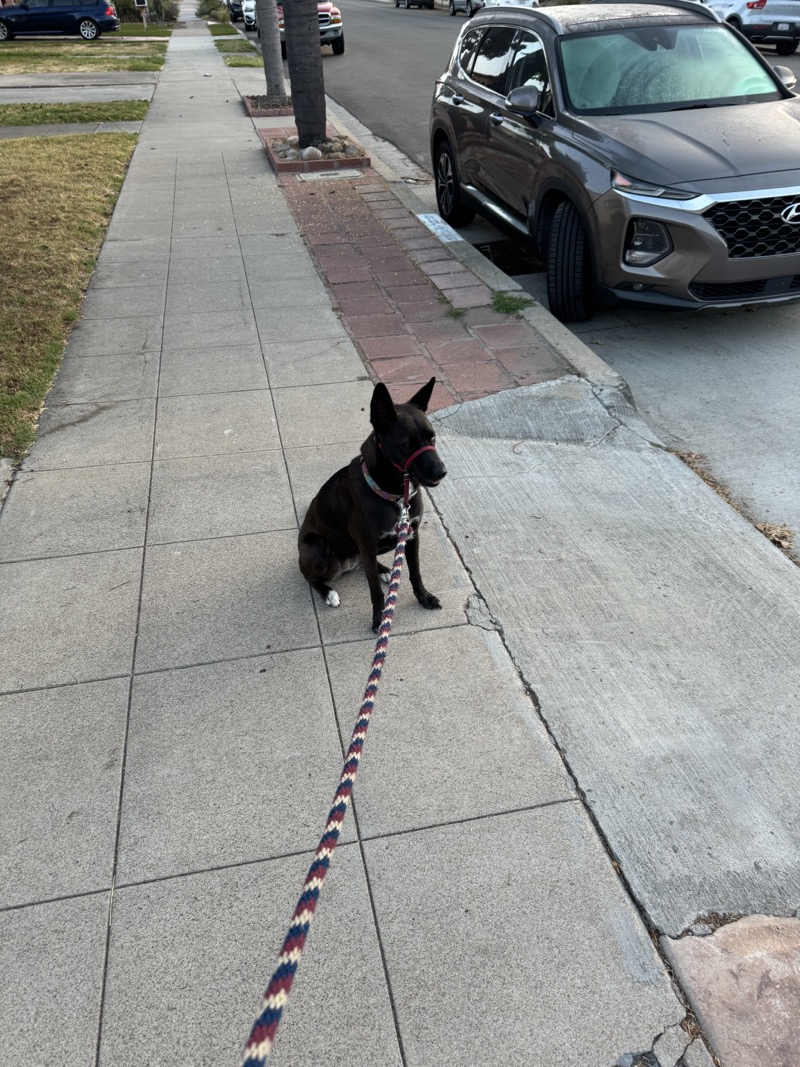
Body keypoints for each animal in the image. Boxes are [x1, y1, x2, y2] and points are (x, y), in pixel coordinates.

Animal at [300, 377, 448, 627]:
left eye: (433, 437)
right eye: (407, 444)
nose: (441, 472)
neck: (395, 495)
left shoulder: (411, 536)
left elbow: (416, 573)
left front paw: (424, 597)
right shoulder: (368, 544)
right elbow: (376, 592)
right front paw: (379, 618)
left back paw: (384, 570)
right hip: (319, 548)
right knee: (308, 576)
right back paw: (328, 592)